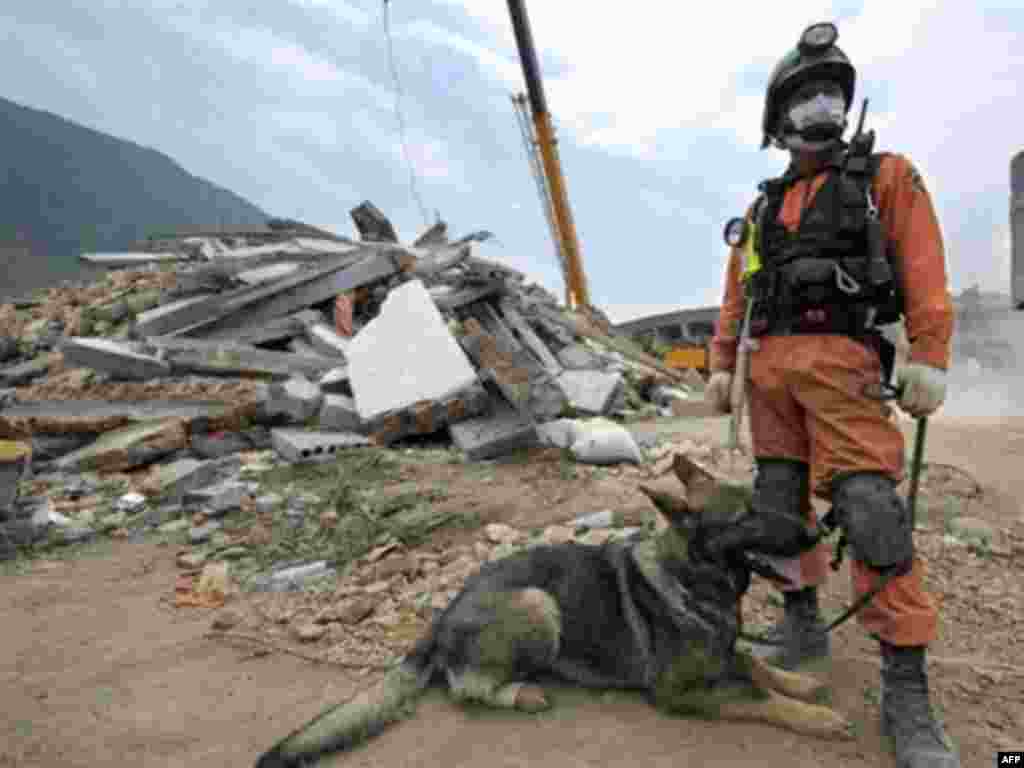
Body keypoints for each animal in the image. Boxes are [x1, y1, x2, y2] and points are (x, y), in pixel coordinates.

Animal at [253, 456, 847, 768]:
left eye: (759, 501)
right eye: (745, 517)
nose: (817, 532)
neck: (690, 580)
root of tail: (445, 613)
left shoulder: (723, 652)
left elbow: (755, 663)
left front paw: (800, 683)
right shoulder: (679, 692)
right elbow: (758, 698)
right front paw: (815, 716)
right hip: (538, 603)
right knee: (466, 685)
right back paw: (523, 692)